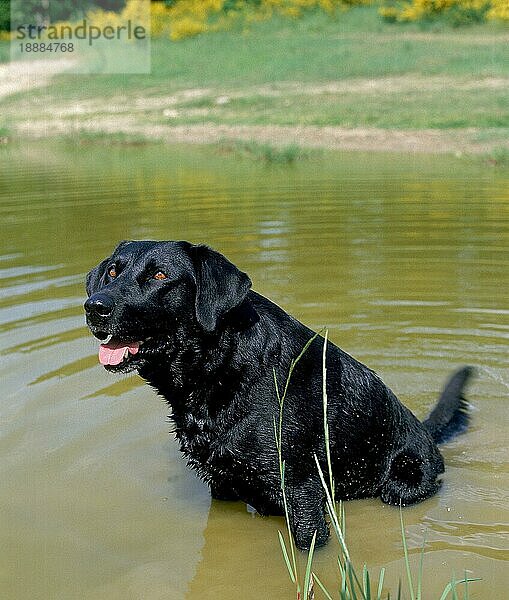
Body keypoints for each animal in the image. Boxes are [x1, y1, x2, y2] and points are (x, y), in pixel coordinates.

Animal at [84, 240, 472, 548]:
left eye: (160, 276)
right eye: (113, 271)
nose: (94, 307)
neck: (223, 366)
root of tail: (425, 431)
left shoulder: (301, 490)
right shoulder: (220, 484)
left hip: (404, 484)